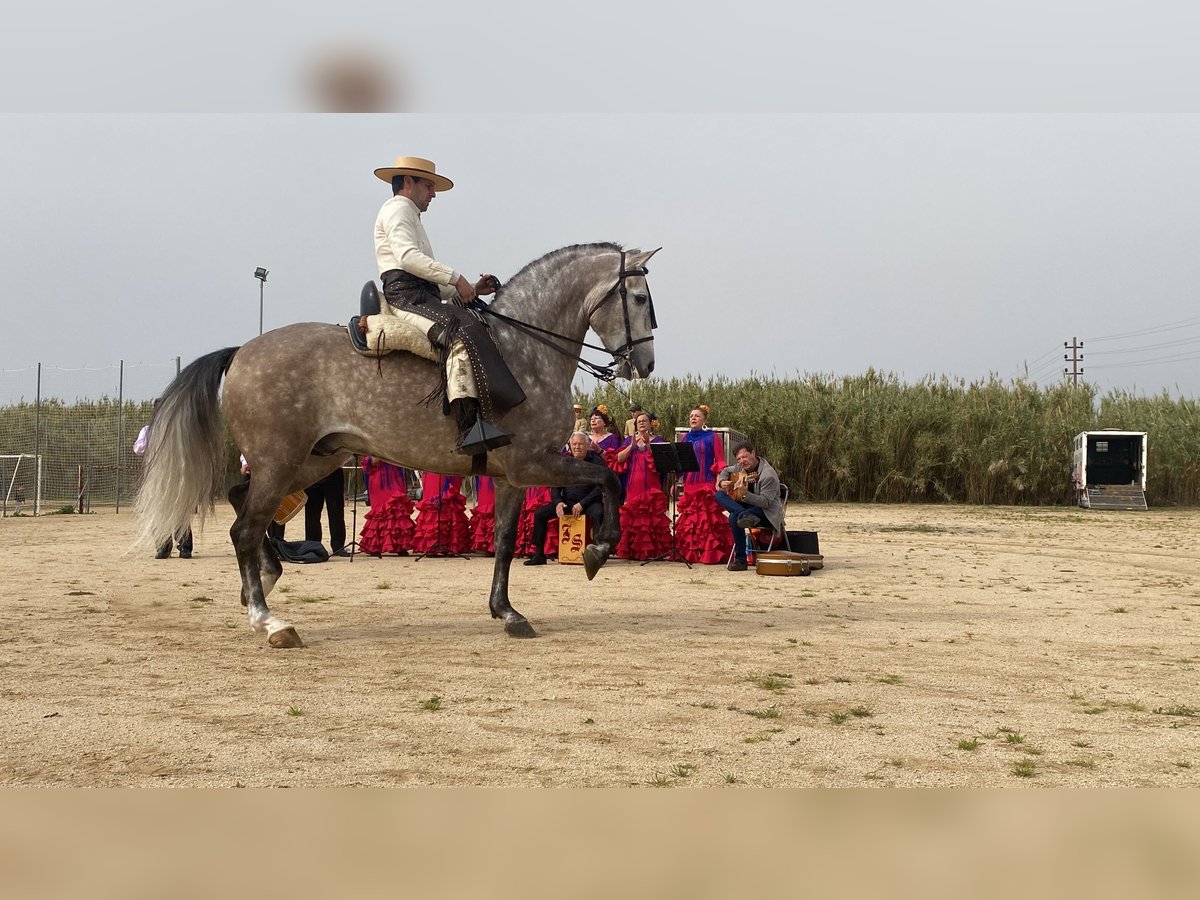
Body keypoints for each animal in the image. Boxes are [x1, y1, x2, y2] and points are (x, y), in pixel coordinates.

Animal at [136, 241, 662, 648]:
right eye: (639, 298)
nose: (646, 364)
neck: (526, 350)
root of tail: (242, 351)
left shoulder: (512, 476)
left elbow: (504, 541)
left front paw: (507, 612)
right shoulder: (536, 463)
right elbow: (608, 478)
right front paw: (597, 551)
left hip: (309, 461)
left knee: (240, 500)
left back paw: (262, 582)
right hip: (281, 463)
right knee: (244, 527)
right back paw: (269, 621)